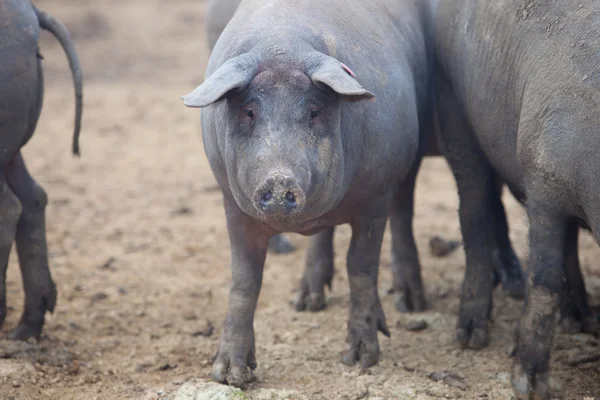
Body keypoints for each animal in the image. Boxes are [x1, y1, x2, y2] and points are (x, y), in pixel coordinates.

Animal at [180, 0, 438, 388]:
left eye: (314, 112)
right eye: (249, 111)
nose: (278, 180)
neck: (282, 45)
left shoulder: (375, 197)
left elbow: (361, 267)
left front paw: (360, 359)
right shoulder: (233, 204)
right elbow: (244, 279)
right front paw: (230, 376)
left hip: (412, 149)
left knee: (402, 208)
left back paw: (409, 304)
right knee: (322, 233)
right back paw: (306, 302)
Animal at [434, 1, 600, 398]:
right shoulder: (543, 182)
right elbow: (544, 278)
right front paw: (528, 383)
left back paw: (580, 320)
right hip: (452, 104)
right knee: (474, 210)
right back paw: (471, 334)